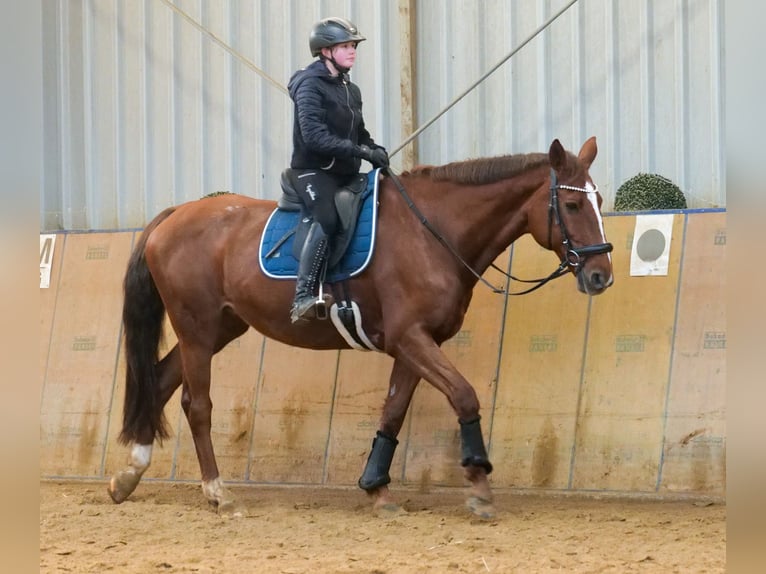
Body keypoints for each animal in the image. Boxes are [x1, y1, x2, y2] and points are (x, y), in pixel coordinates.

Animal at [108, 137, 616, 520]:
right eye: (572, 204)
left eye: (599, 201)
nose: (600, 276)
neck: (431, 232)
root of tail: (175, 214)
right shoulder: (412, 338)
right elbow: (464, 395)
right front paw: (478, 483)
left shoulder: (413, 344)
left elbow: (392, 412)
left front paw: (377, 488)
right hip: (196, 328)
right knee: (197, 405)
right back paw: (218, 493)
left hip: (218, 330)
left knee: (160, 383)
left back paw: (128, 476)